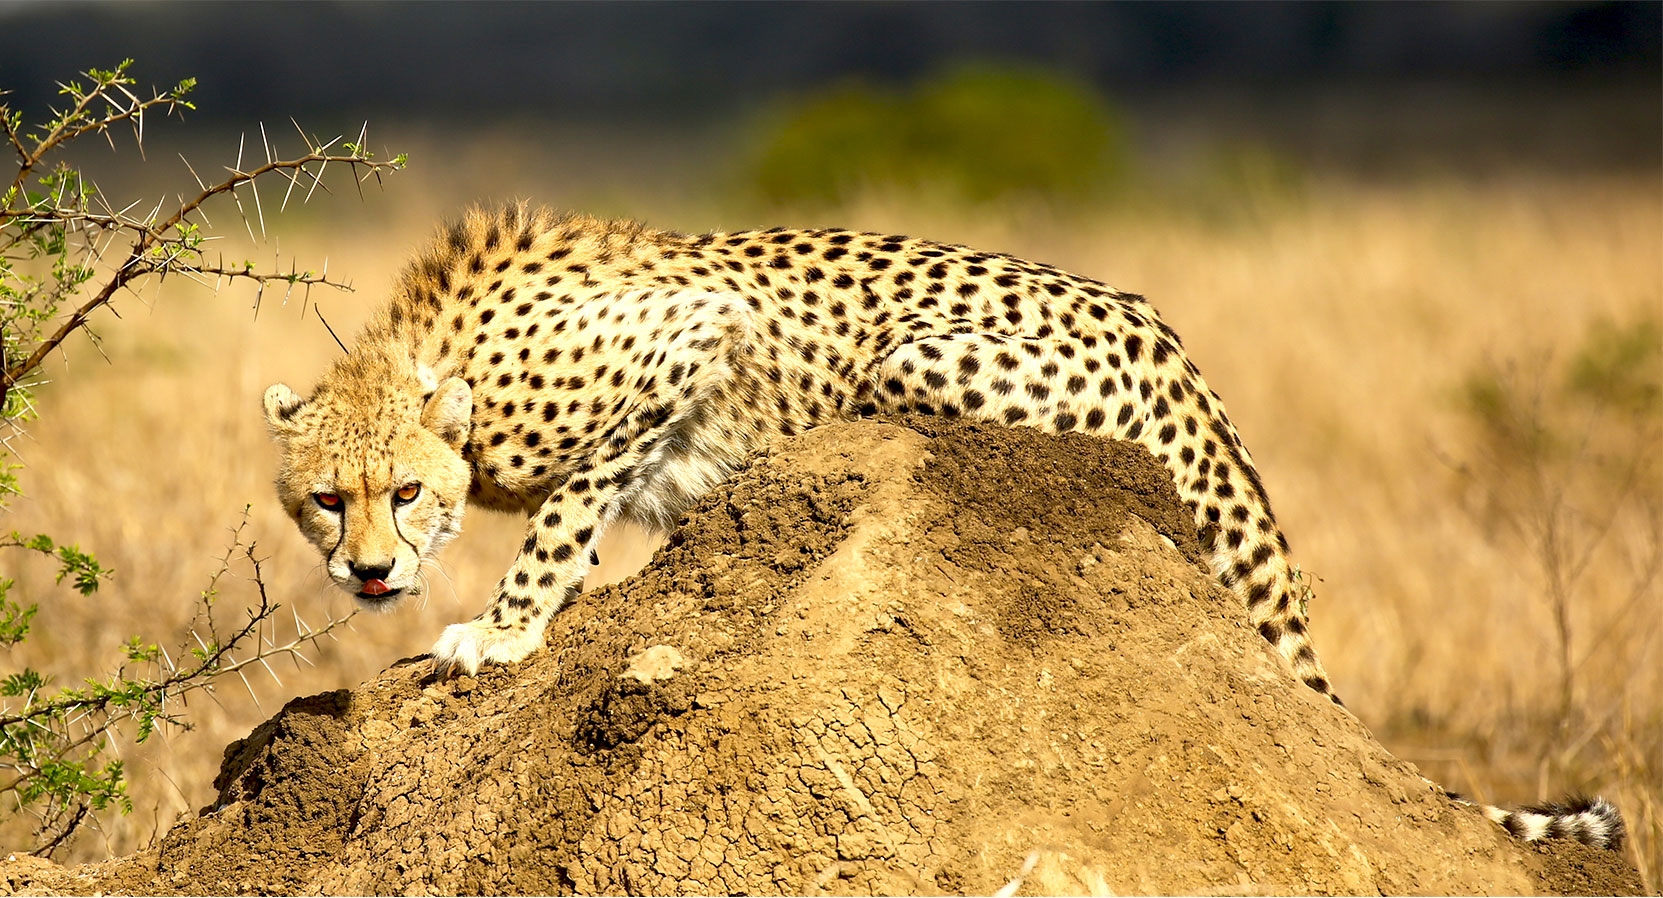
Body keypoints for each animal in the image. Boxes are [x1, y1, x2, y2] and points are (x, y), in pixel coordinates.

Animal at [262, 203, 1623, 848]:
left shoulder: (685, 339)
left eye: (404, 493)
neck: (451, 365)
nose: (369, 572)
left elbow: (565, 515)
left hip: (916, 360)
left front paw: (500, 630)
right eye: (326, 499)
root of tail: (1189, 368)